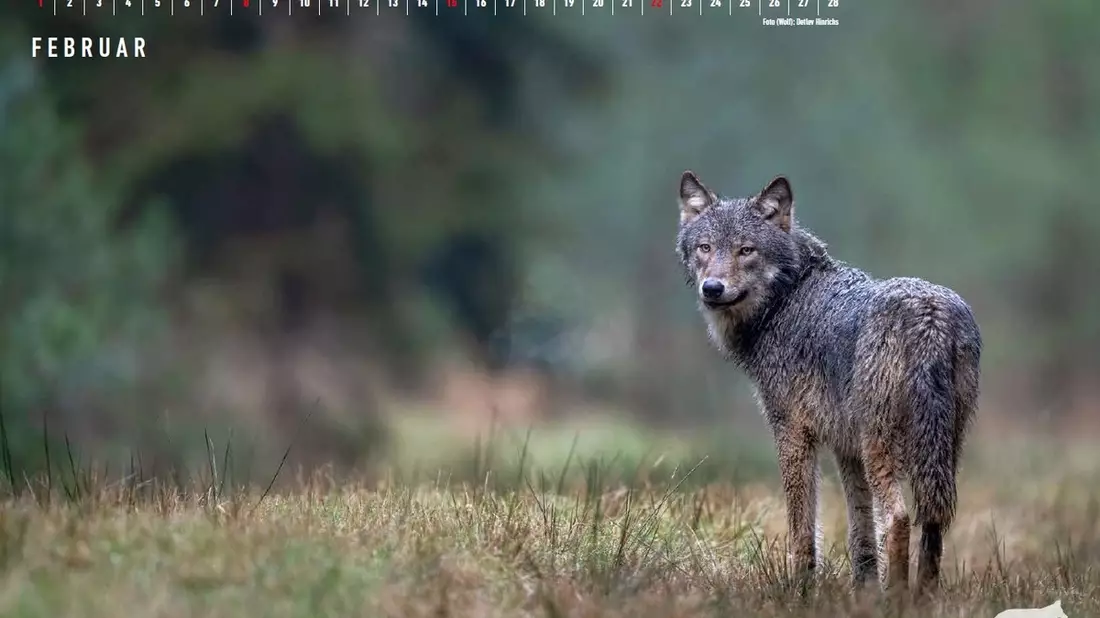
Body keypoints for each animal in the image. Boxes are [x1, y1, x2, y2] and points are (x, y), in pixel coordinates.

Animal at [674, 171, 982, 593]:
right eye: (705, 248)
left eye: (746, 250)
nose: (713, 288)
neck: (787, 299)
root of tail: (931, 317)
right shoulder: (845, 447)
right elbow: (860, 531)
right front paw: (862, 591)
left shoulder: (792, 433)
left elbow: (802, 528)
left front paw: (801, 590)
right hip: (940, 450)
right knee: (933, 522)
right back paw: (923, 598)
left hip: (881, 447)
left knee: (899, 518)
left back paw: (897, 598)